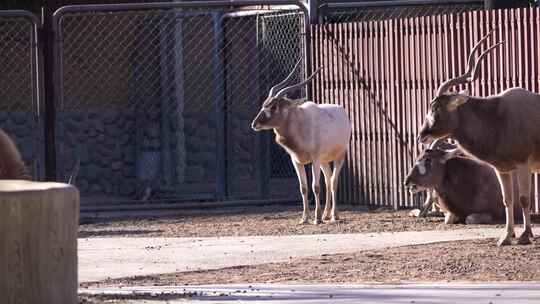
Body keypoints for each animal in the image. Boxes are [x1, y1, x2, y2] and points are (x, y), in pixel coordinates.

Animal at [251, 61, 352, 223]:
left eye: (274, 106)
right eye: (264, 104)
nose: (254, 124)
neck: (299, 123)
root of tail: (341, 110)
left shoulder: (314, 160)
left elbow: (315, 187)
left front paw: (316, 218)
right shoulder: (296, 161)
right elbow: (303, 188)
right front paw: (304, 218)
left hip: (338, 157)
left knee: (333, 182)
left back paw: (334, 215)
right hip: (324, 161)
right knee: (328, 180)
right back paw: (326, 214)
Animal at [420, 29, 536, 246]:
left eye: (436, 108)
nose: (422, 135)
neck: (498, 117)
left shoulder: (523, 165)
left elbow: (524, 198)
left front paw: (525, 235)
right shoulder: (504, 169)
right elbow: (507, 200)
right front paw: (506, 237)